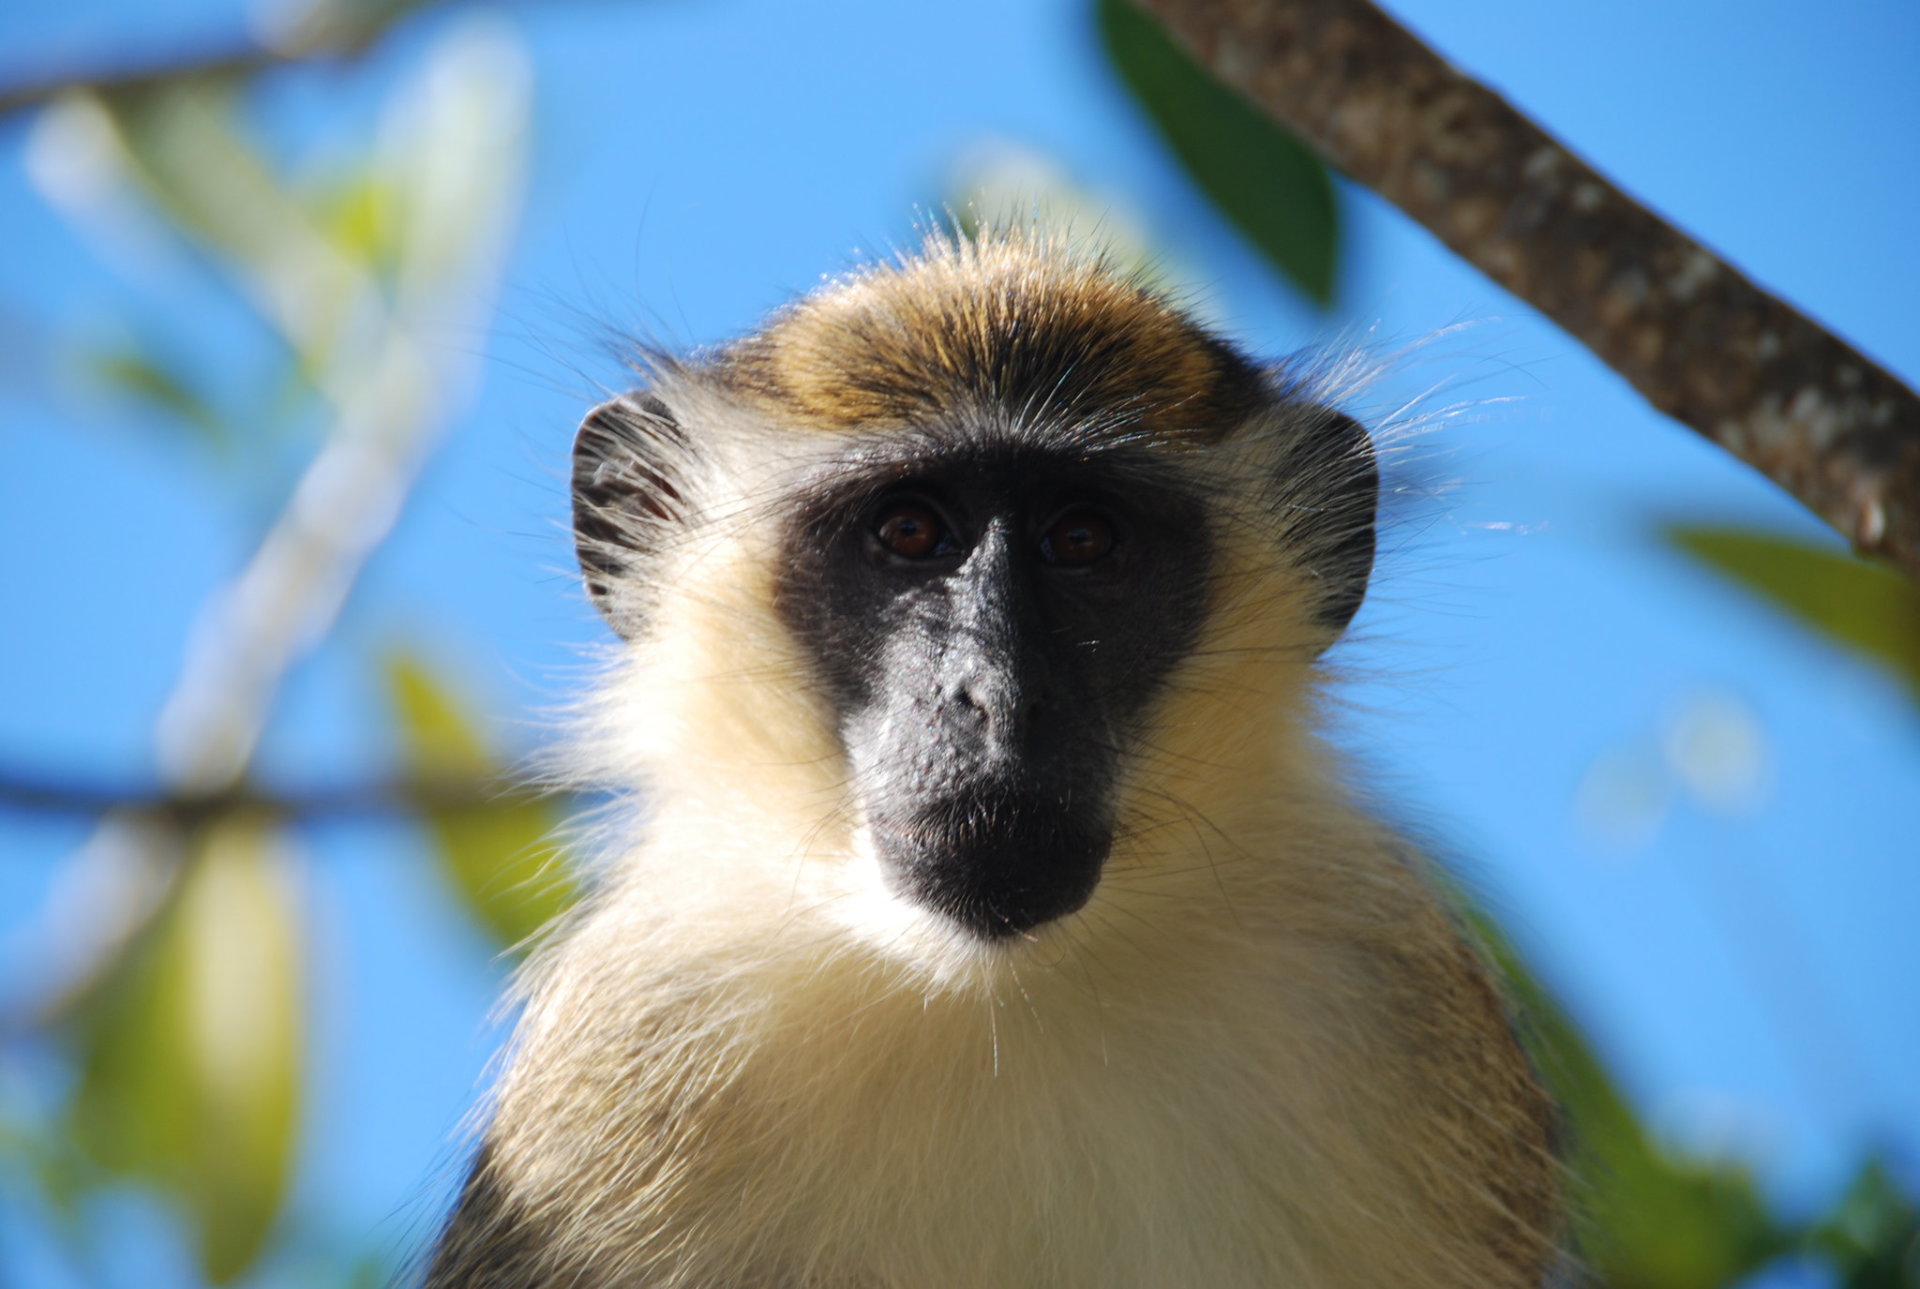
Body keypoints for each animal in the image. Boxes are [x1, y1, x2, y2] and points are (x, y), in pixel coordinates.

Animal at [416, 232, 1559, 1289]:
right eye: (910, 531)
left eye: (1084, 538)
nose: (1000, 694)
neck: (996, 996)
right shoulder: (636, 1034)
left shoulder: (1386, 997)